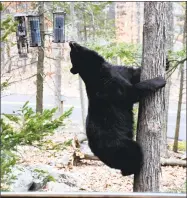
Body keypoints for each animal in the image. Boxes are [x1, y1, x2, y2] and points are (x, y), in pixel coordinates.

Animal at [69, 41, 166, 176]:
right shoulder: (109, 87)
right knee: (133, 154)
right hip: (120, 145)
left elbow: (133, 73)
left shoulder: (117, 71)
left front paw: (167, 60)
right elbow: (131, 92)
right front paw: (159, 80)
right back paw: (137, 168)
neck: (98, 69)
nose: (70, 43)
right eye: (72, 55)